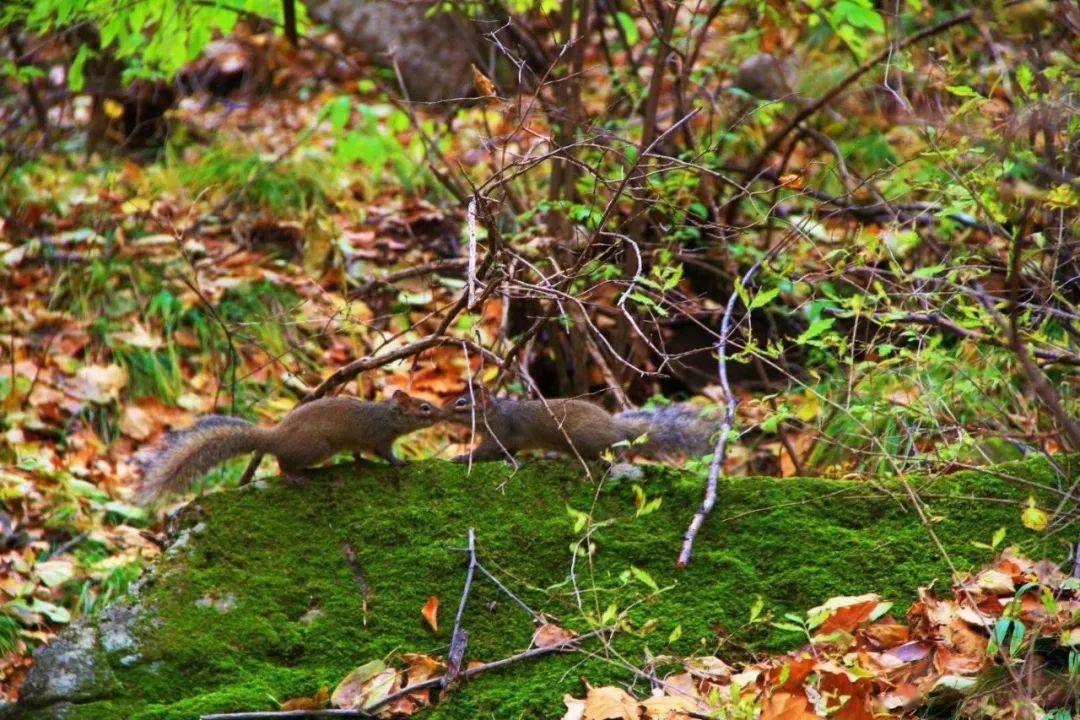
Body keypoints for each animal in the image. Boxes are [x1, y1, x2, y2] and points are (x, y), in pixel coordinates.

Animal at [138, 390, 442, 505]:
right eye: (424, 408)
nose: (442, 414)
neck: (386, 416)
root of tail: (274, 437)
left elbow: (358, 454)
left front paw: (361, 462)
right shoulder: (378, 438)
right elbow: (385, 454)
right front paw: (401, 462)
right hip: (316, 448)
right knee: (283, 463)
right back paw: (295, 478)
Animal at [447, 388, 717, 462]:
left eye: (461, 403)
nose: (442, 411)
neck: (496, 413)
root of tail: (616, 430)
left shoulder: (501, 433)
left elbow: (488, 452)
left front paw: (461, 458)